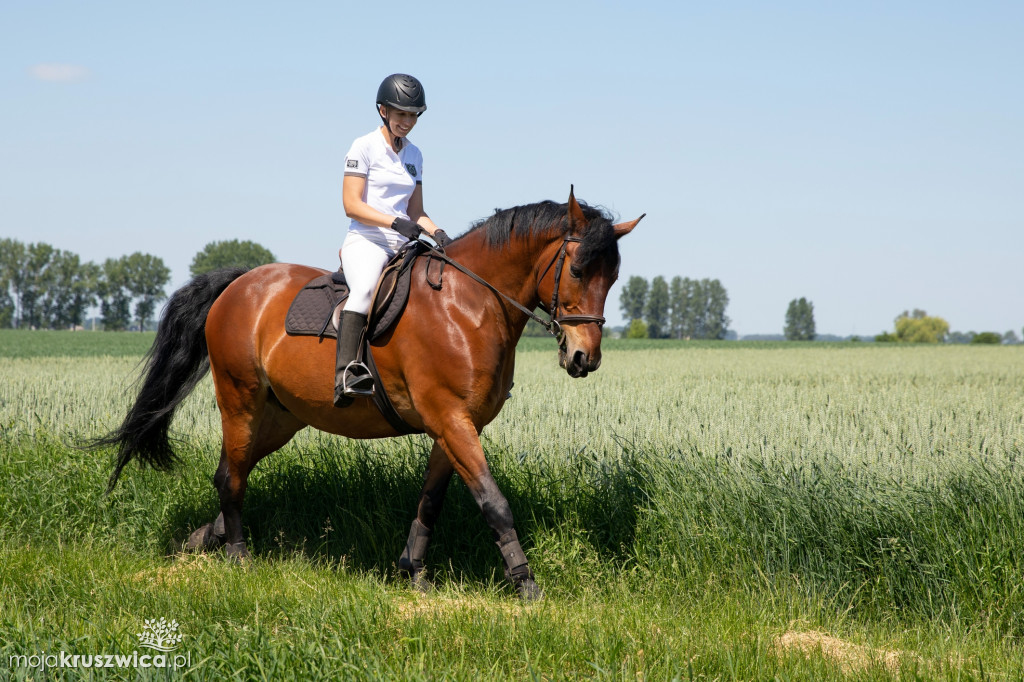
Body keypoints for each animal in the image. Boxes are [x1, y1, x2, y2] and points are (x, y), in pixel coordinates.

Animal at [96, 186, 638, 593]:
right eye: (577, 270)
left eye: (612, 277)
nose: (584, 358)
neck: (470, 304)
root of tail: (240, 283)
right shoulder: (451, 420)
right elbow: (493, 502)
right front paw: (526, 584)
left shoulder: (455, 426)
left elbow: (430, 502)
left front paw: (414, 573)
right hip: (240, 400)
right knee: (231, 476)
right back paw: (237, 555)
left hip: (281, 417)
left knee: (232, 470)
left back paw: (201, 539)